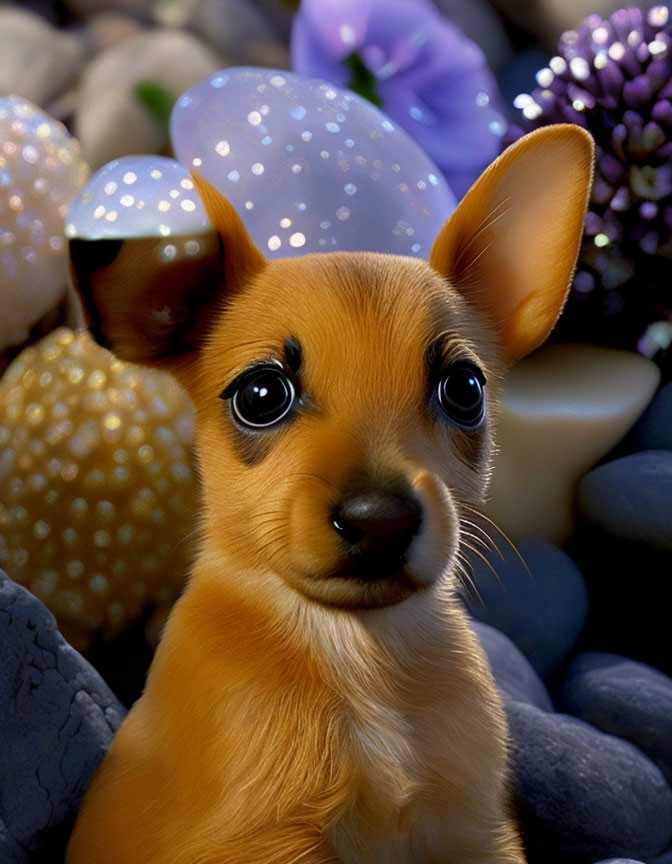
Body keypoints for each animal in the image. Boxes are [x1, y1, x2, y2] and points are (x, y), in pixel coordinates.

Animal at [65, 123, 592, 864]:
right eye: (260, 395)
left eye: (464, 389)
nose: (380, 521)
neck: (357, 661)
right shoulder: (258, 844)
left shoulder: (476, 830)